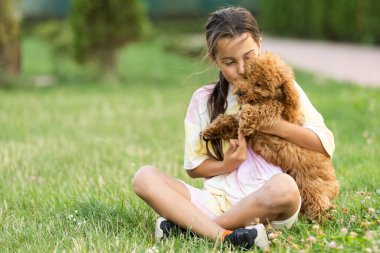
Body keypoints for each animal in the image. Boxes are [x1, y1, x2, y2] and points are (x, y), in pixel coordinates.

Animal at [202, 52, 338, 221]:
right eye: (246, 77)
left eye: (258, 84)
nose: (240, 92)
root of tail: (334, 186)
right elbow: (230, 120)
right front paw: (211, 130)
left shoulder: (279, 112)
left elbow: (264, 108)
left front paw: (247, 118)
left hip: (312, 186)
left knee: (320, 203)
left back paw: (323, 219)